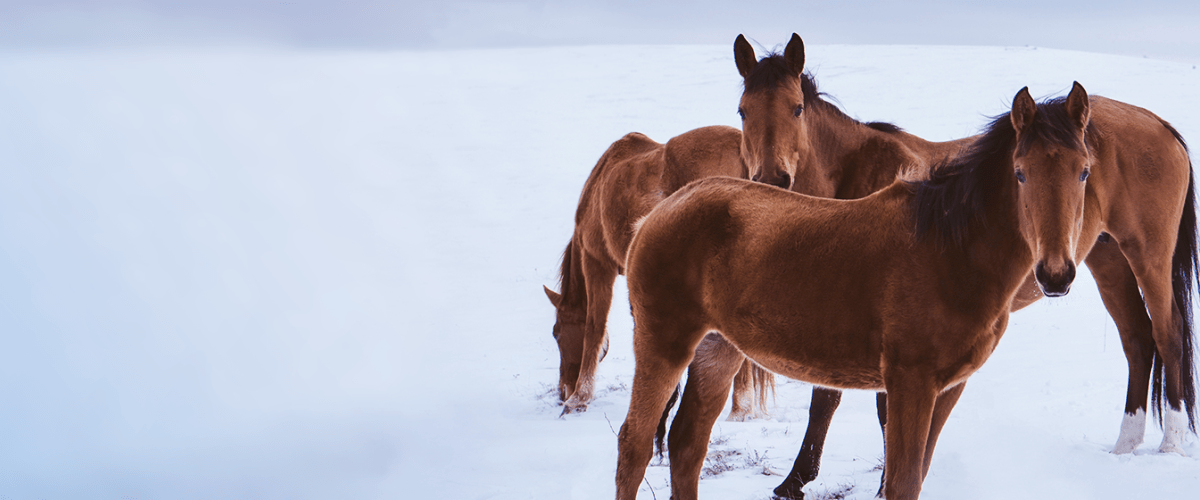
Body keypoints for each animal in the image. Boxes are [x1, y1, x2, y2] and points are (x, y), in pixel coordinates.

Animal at [616, 83, 1196, 500]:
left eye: (1083, 172)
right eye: (1021, 173)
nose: (1055, 275)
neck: (949, 250)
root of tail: (659, 212)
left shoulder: (946, 387)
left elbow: (914, 478)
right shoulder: (909, 382)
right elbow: (898, 482)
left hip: (718, 350)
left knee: (686, 445)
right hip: (665, 343)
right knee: (635, 446)